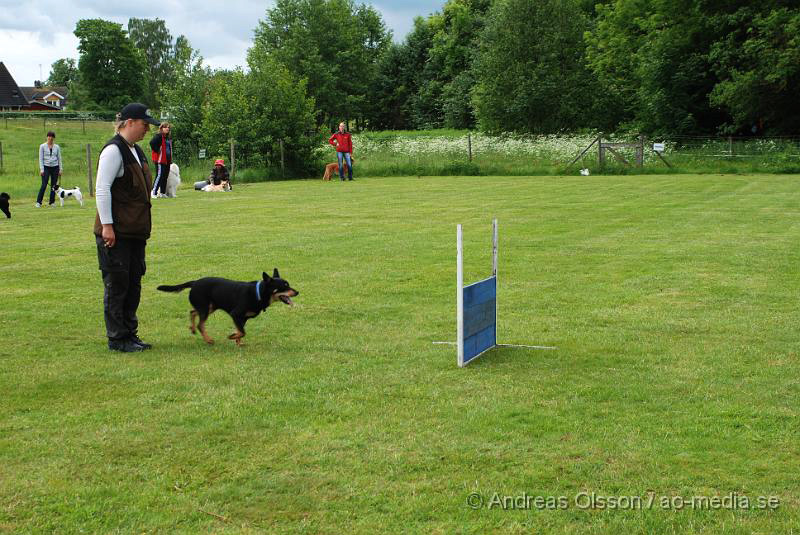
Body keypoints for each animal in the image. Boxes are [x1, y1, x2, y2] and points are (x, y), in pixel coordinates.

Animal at [156, 268, 296, 348]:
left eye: (288, 284)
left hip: (209, 306)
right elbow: (242, 332)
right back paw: (208, 340)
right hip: (205, 308)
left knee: (192, 312)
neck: (258, 293)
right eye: (284, 286)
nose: (297, 292)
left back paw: (192, 328)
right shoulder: (236, 314)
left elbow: (240, 331)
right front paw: (231, 337)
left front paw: (238, 342)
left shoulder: (242, 318)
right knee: (201, 324)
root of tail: (194, 282)